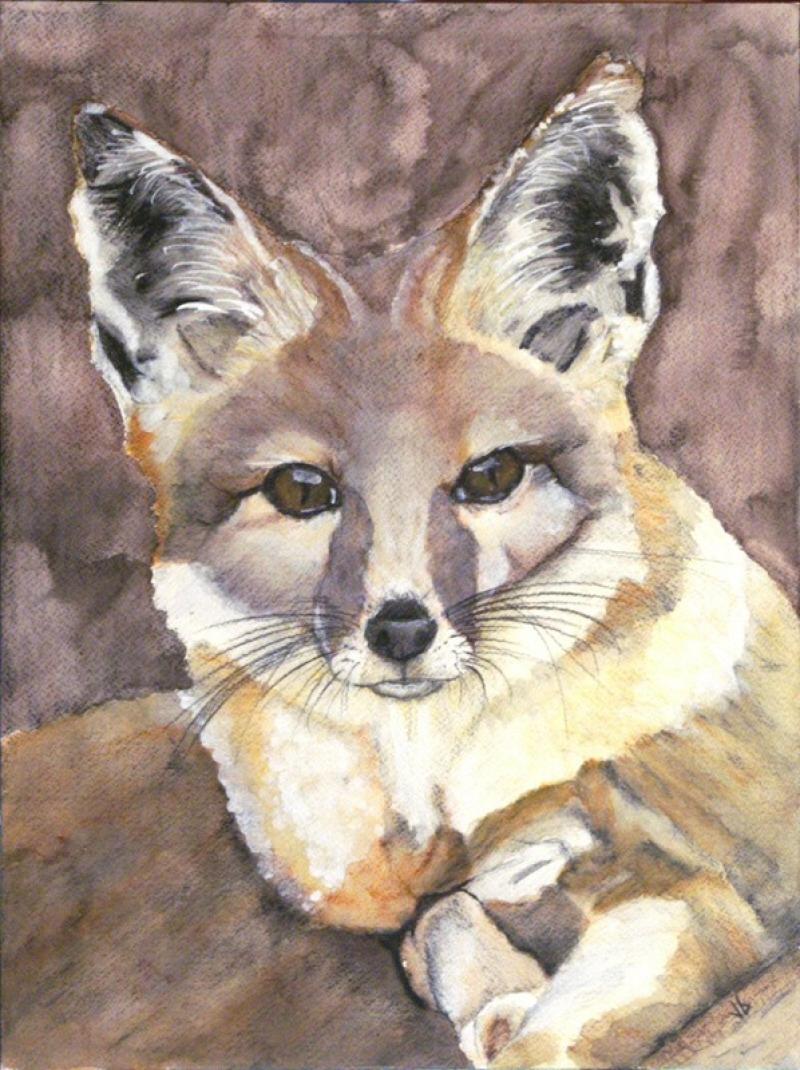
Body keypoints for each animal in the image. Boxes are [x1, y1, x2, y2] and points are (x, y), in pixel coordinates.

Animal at [67, 55, 799, 1069]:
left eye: (492, 476)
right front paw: (491, 972)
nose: (403, 629)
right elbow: (437, 926)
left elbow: (552, 1013)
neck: (427, 792)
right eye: (302, 491)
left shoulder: (709, 898)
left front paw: (512, 985)